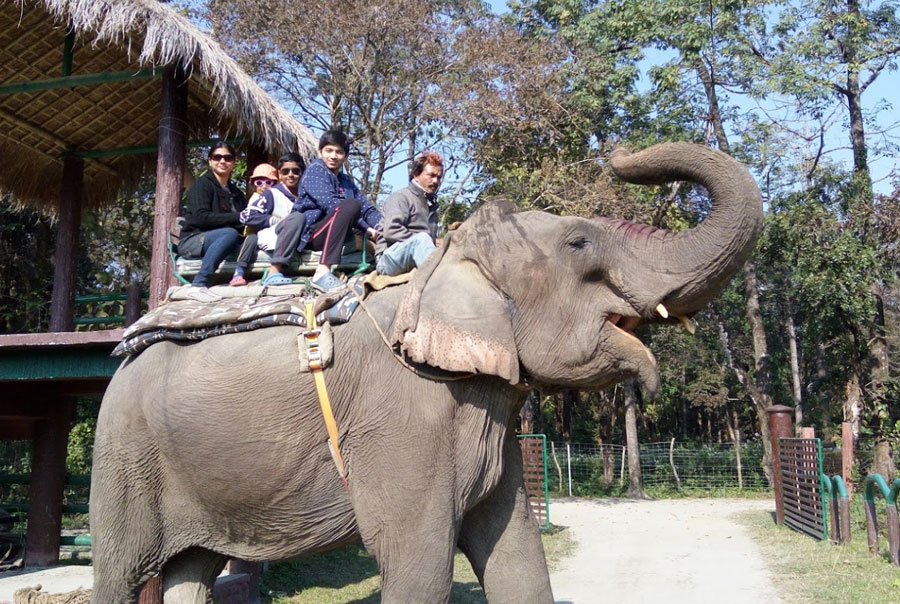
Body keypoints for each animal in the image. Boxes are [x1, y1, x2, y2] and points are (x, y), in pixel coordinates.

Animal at [89, 143, 760, 604]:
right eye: (579, 244)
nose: (620, 158)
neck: (442, 266)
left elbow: (516, 552)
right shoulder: (403, 418)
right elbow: (420, 563)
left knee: (192, 568)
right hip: (124, 452)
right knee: (121, 570)